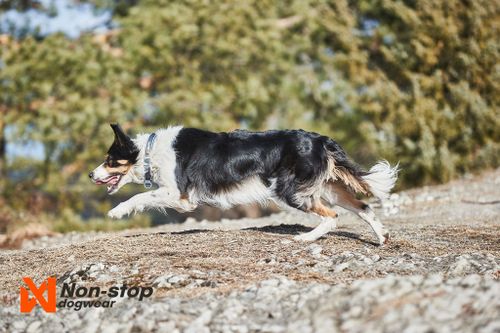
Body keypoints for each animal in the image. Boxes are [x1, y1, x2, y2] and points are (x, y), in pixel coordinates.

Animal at [90, 124, 398, 244]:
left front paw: (116, 212)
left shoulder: (178, 196)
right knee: (363, 207)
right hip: (327, 188)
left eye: (109, 160)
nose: (91, 175)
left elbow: (139, 198)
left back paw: (305, 238)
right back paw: (382, 238)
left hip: (289, 191)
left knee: (332, 216)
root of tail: (321, 140)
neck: (149, 153)